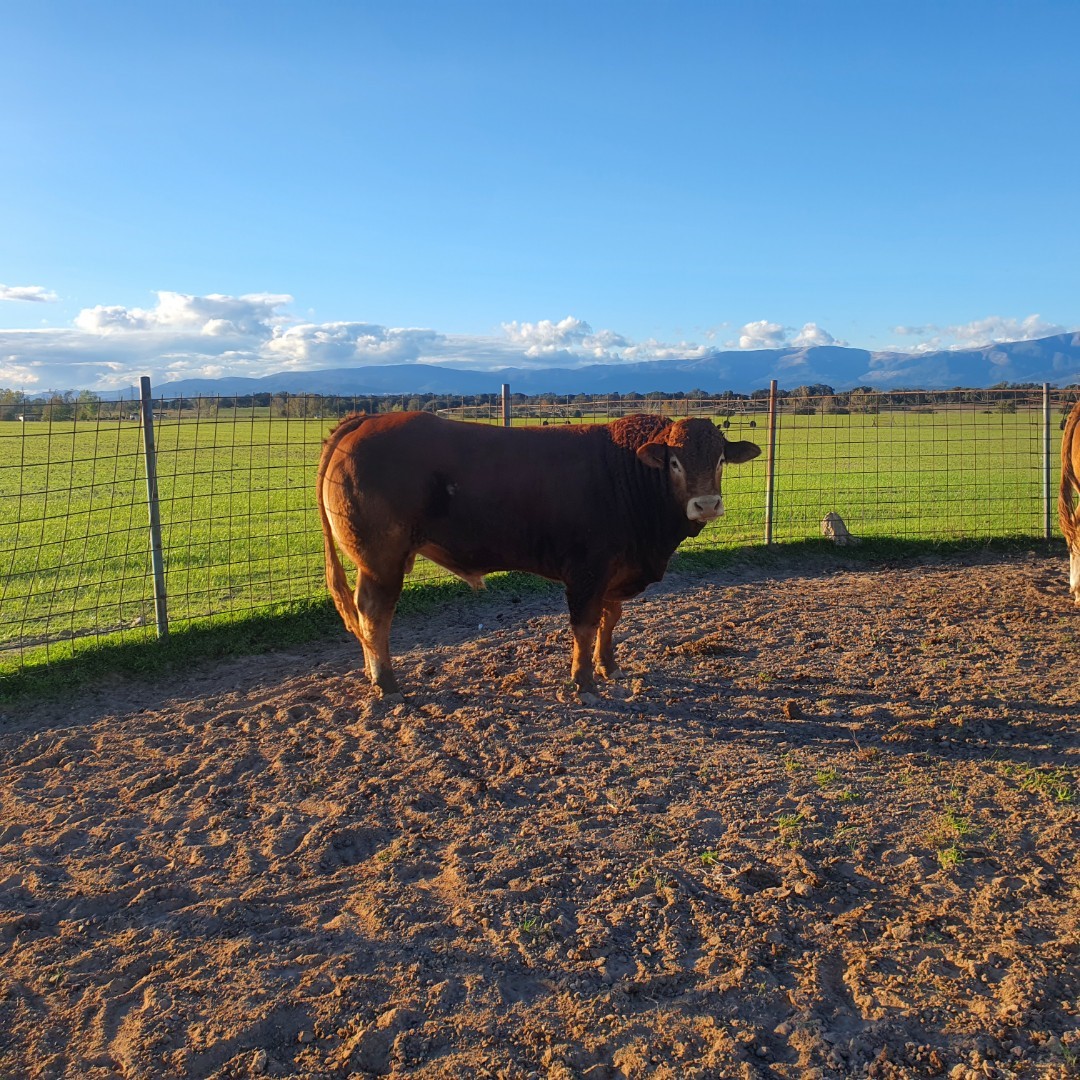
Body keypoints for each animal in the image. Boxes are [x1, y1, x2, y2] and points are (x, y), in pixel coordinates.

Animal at [317, 412, 761, 702]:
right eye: (674, 461)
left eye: (721, 459)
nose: (706, 505)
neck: (628, 472)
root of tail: (365, 421)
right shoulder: (586, 571)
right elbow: (585, 625)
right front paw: (584, 682)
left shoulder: (614, 573)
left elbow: (610, 620)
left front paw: (608, 666)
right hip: (381, 561)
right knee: (374, 614)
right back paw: (386, 683)